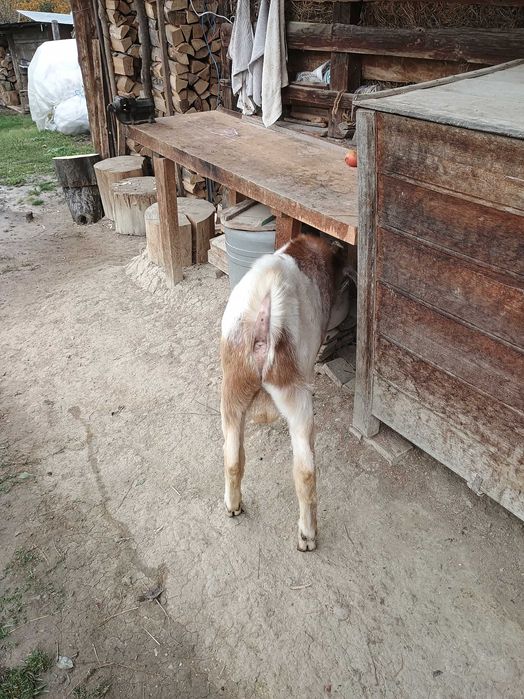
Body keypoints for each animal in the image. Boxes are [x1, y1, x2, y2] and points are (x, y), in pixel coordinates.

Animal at [220, 233, 351, 551]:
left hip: (232, 384)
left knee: (231, 454)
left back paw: (233, 506)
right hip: (295, 395)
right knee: (305, 471)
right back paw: (308, 536)